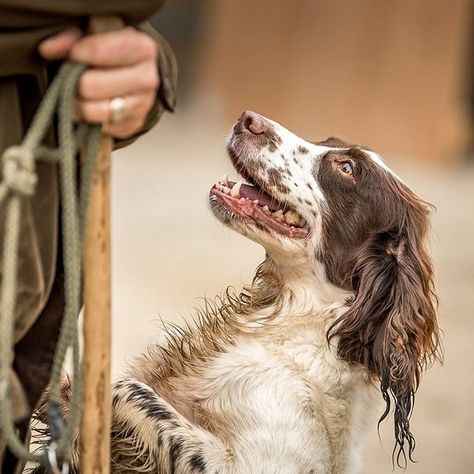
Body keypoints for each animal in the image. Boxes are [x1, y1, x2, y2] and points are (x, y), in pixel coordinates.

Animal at [34, 110, 440, 470]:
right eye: (326, 141)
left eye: (346, 169)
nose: (248, 119)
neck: (292, 319)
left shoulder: (241, 462)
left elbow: (126, 388)